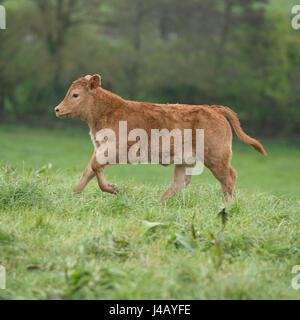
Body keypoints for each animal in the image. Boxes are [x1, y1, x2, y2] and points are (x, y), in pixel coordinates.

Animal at [55, 74, 266, 201]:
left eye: (75, 95)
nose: (57, 109)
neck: (108, 111)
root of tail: (213, 108)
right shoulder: (100, 148)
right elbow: (89, 170)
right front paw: (74, 194)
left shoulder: (117, 149)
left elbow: (95, 166)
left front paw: (113, 188)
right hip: (185, 160)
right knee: (180, 181)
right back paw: (160, 202)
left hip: (216, 156)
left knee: (229, 176)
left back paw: (225, 205)